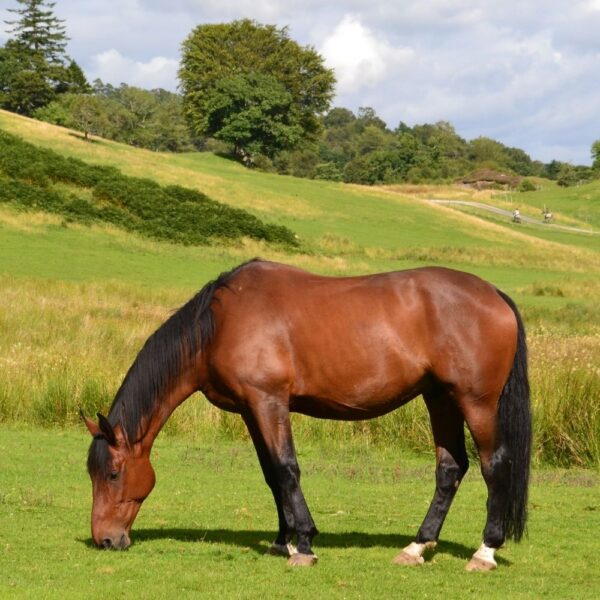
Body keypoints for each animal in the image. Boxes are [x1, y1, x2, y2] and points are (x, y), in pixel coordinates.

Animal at [81, 258, 528, 572]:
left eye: (113, 474)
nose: (105, 539)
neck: (221, 322)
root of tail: (494, 294)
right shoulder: (251, 410)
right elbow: (270, 474)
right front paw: (285, 540)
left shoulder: (269, 402)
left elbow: (286, 468)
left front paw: (306, 544)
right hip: (440, 398)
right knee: (450, 469)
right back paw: (417, 546)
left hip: (475, 402)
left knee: (494, 465)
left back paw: (485, 552)